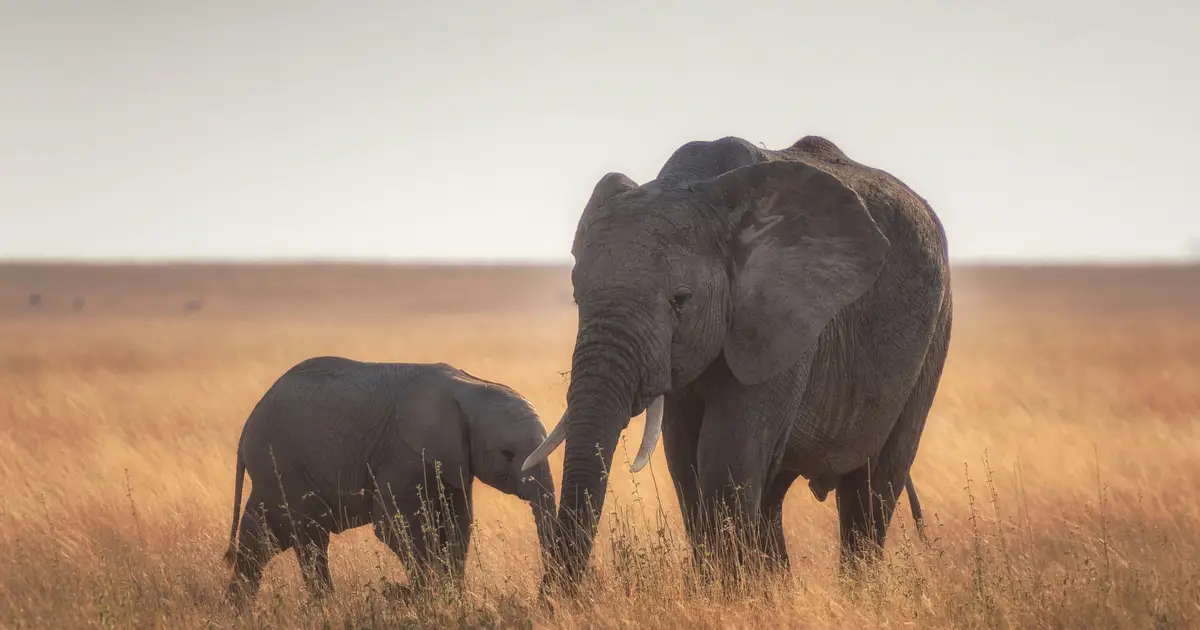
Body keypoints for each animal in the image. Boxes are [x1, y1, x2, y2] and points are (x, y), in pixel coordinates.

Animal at [221, 357, 557, 606]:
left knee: (260, 537)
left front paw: (451, 599)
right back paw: (324, 607)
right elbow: (395, 526)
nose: (545, 593)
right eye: (507, 453)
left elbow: (457, 525)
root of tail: (247, 427)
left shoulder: (453, 461)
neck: (471, 386)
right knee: (308, 538)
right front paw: (426, 599)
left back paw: (239, 608)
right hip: (283, 465)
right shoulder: (403, 454)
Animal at [522, 134, 952, 587]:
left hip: (934, 335)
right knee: (774, 496)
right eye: (576, 296)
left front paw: (728, 594)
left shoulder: (783, 320)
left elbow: (726, 457)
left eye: (681, 300)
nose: (554, 598)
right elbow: (685, 460)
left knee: (872, 489)